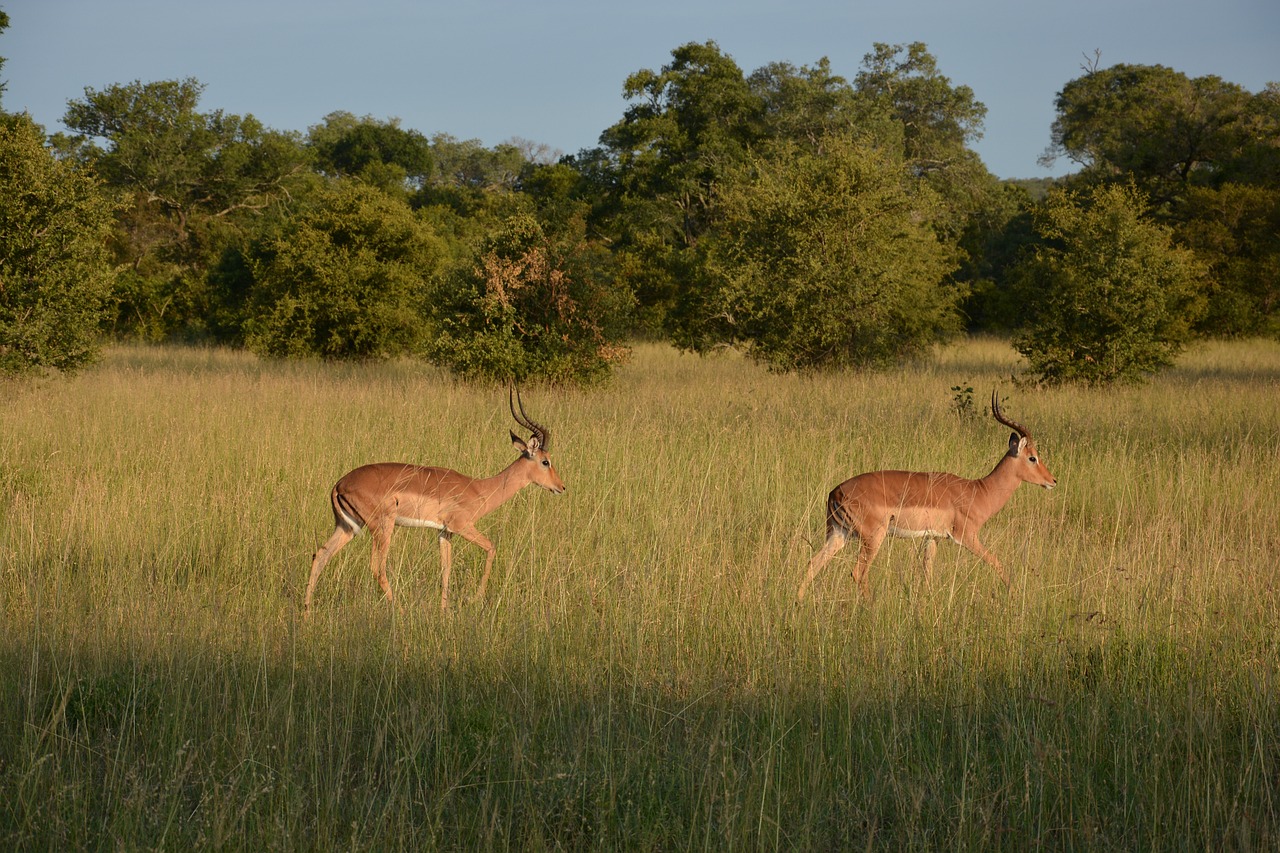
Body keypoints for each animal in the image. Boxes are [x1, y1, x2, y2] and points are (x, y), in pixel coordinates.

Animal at [304, 389, 565, 614]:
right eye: (545, 461)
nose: (561, 487)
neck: (479, 489)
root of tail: (339, 484)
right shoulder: (462, 527)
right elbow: (491, 547)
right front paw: (474, 599)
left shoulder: (444, 532)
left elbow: (445, 570)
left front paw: (444, 612)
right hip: (382, 527)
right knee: (377, 567)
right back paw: (400, 611)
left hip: (348, 526)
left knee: (320, 555)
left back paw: (306, 613)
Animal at [793, 391, 1054, 596]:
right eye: (1033, 457)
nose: (1052, 480)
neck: (979, 491)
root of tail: (835, 492)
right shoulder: (967, 536)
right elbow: (997, 563)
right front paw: (1013, 593)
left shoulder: (932, 538)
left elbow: (927, 576)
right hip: (872, 538)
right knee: (858, 573)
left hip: (839, 534)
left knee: (812, 564)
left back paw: (798, 602)